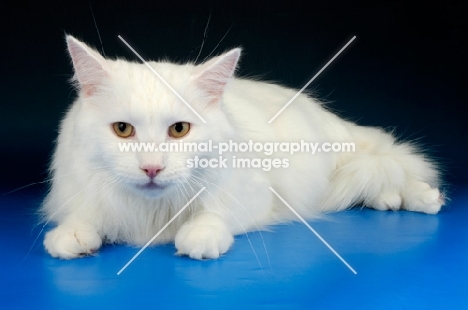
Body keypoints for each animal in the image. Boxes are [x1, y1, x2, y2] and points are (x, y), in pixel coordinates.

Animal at [41, 35, 442, 260]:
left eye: (179, 130)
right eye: (123, 130)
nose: (152, 169)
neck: (152, 212)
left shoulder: (252, 192)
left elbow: (214, 214)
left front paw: (199, 238)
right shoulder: (78, 191)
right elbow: (83, 215)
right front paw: (72, 237)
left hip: (341, 151)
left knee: (387, 167)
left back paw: (424, 199)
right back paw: (387, 199)